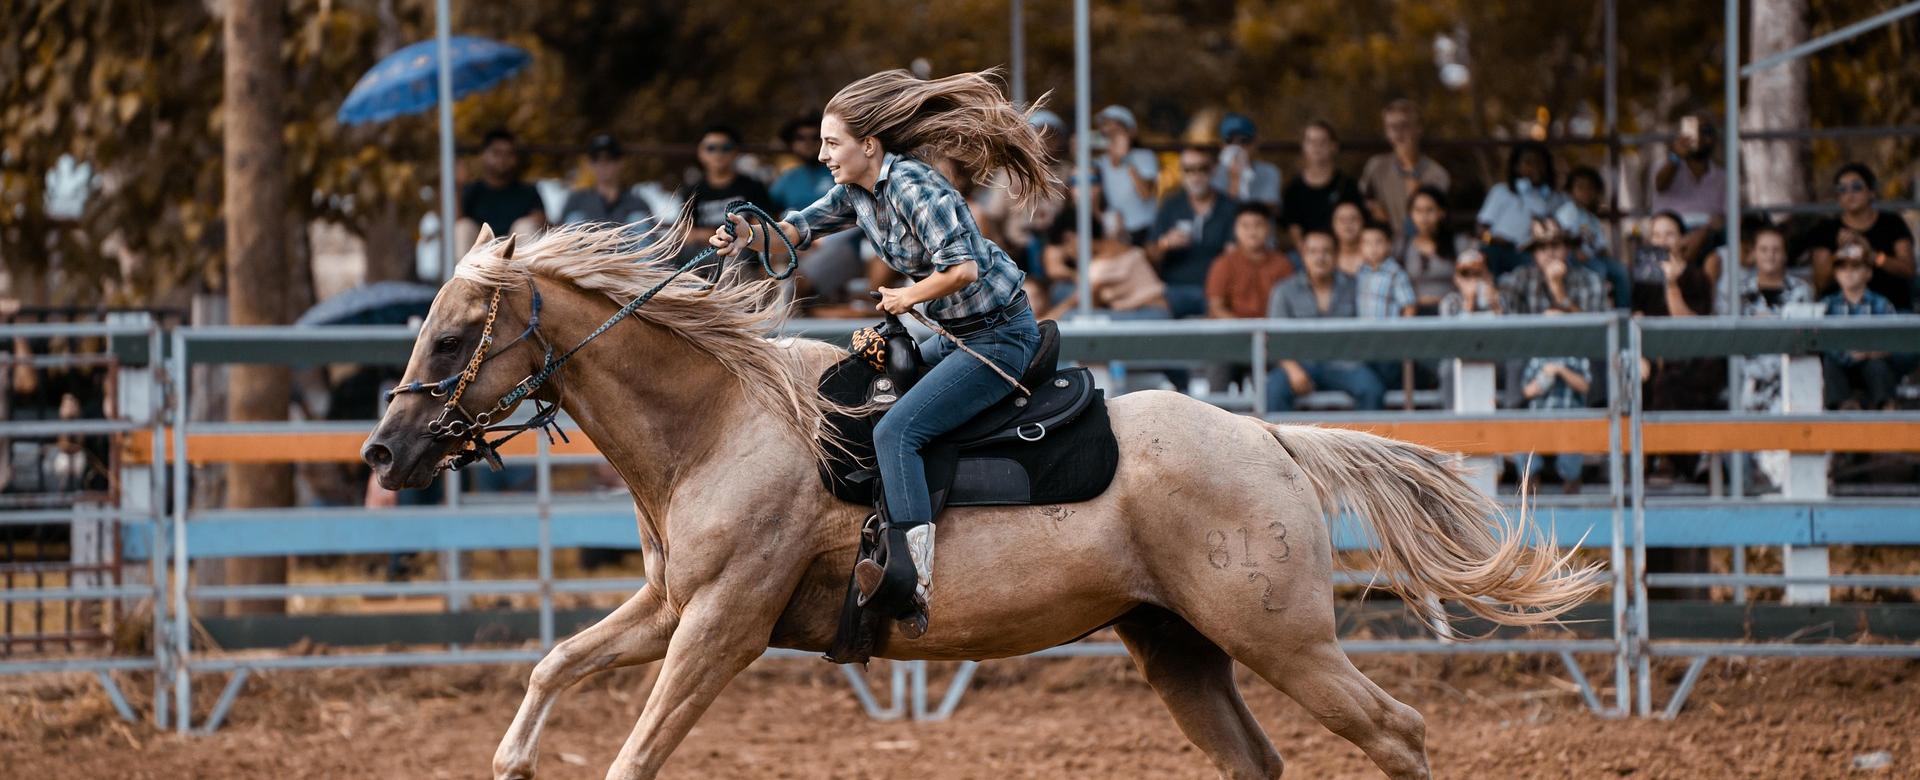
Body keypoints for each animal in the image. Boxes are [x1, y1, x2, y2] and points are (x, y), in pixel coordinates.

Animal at [362, 223, 1600, 780]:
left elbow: (636, 750)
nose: (382, 449)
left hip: (1282, 639)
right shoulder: (671, 606)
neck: (723, 421)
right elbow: (551, 665)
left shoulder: (723, 624)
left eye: (455, 336)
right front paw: (515, 760)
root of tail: (1268, 439)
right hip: (1179, 648)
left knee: (1397, 731)